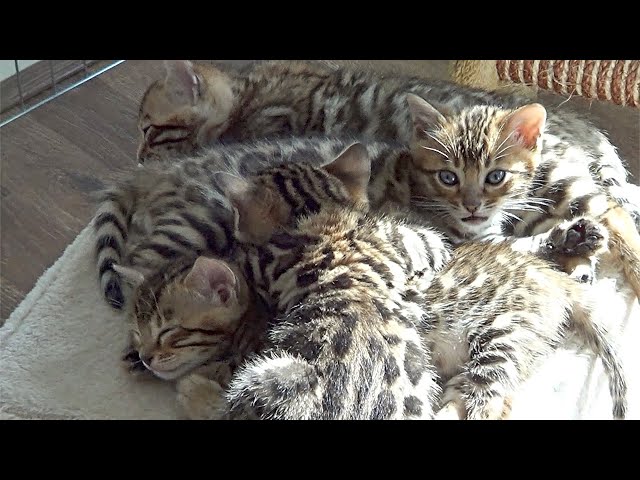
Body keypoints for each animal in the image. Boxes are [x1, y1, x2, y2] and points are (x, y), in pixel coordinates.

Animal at [136, 60, 640, 231]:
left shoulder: (275, 121)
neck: (248, 92)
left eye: (149, 130)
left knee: (612, 213)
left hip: (553, 183)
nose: (139, 159)